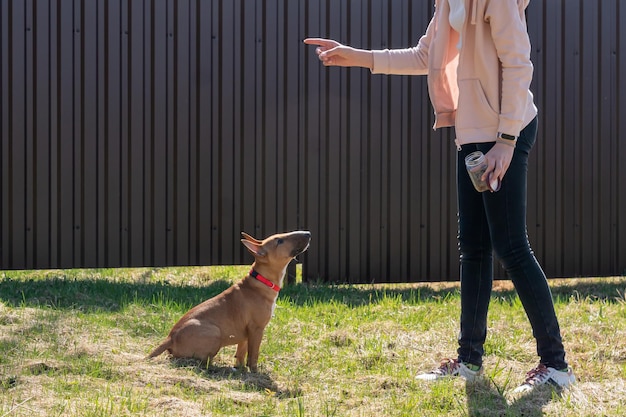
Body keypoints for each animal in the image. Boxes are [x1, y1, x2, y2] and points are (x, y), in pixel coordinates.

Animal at [147, 231, 312, 370]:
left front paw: (240, 369)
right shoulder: (256, 329)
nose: (308, 233)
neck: (260, 281)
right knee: (201, 360)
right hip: (215, 333)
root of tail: (170, 337)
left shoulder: (246, 331)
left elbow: (241, 353)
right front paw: (255, 372)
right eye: (280, 241)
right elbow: (253, 354)